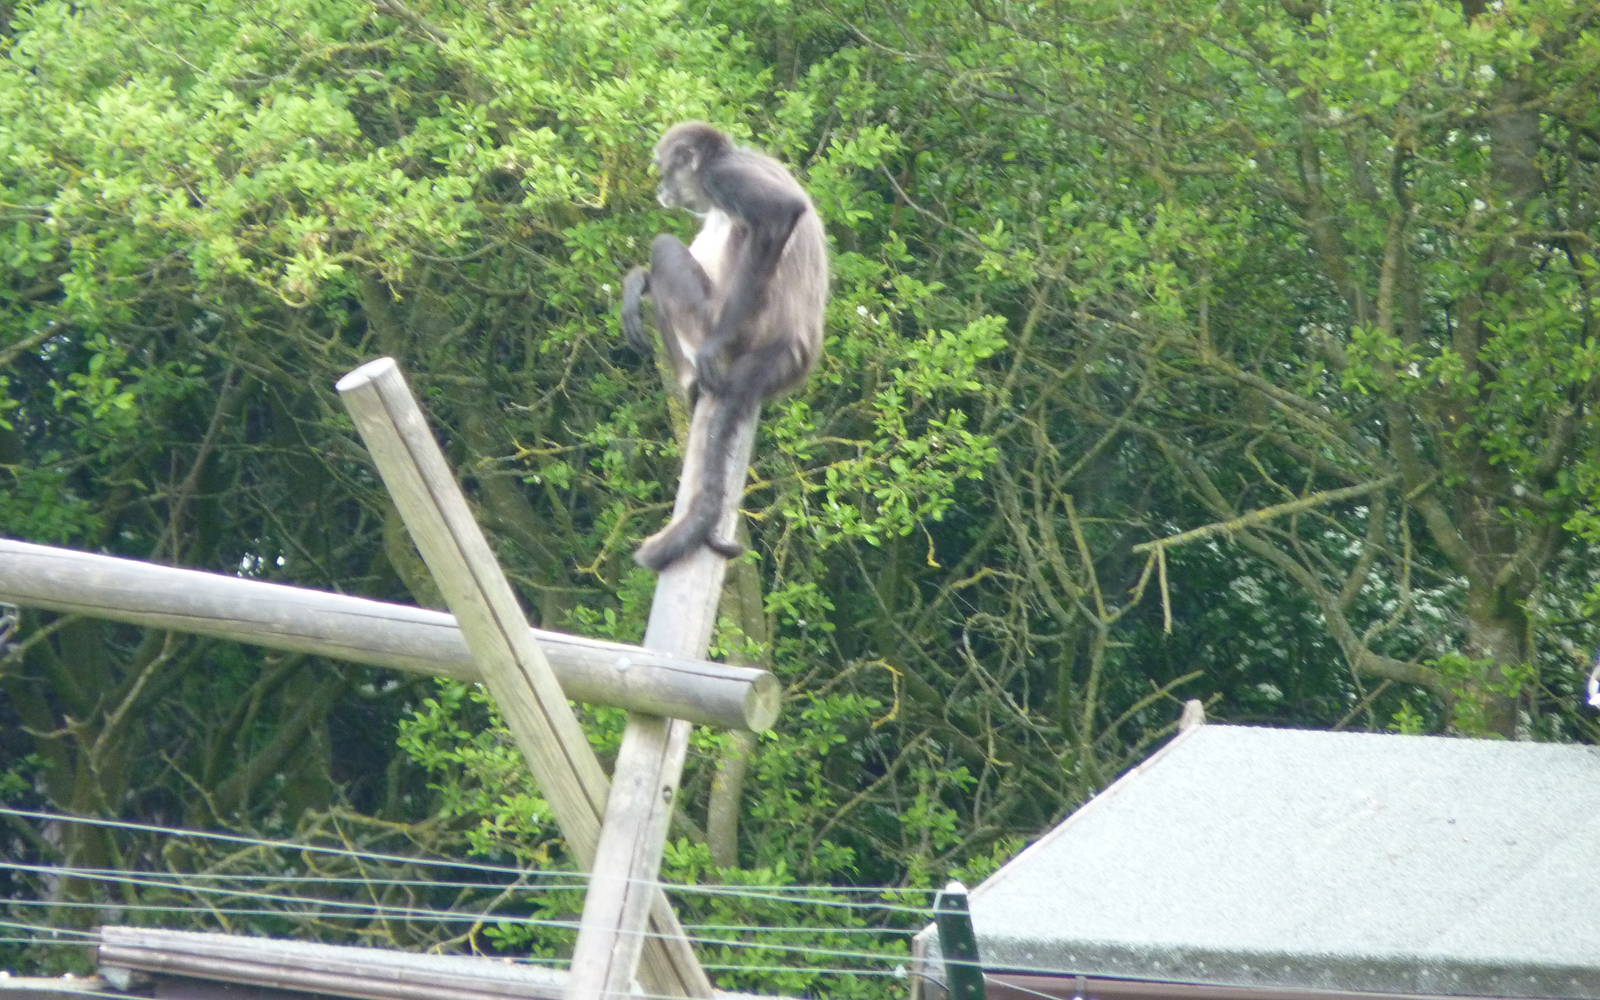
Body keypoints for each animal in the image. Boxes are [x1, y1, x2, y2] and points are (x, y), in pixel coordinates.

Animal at [621, 121, 828, 571]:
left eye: (664, 169)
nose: (661, 188)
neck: (729, 156)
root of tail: (786, 349)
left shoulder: (723, 178)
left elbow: (780, 214)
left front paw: (711, 350)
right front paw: (636, 282)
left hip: (721, 320)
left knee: (665, 247)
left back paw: (692, 382)